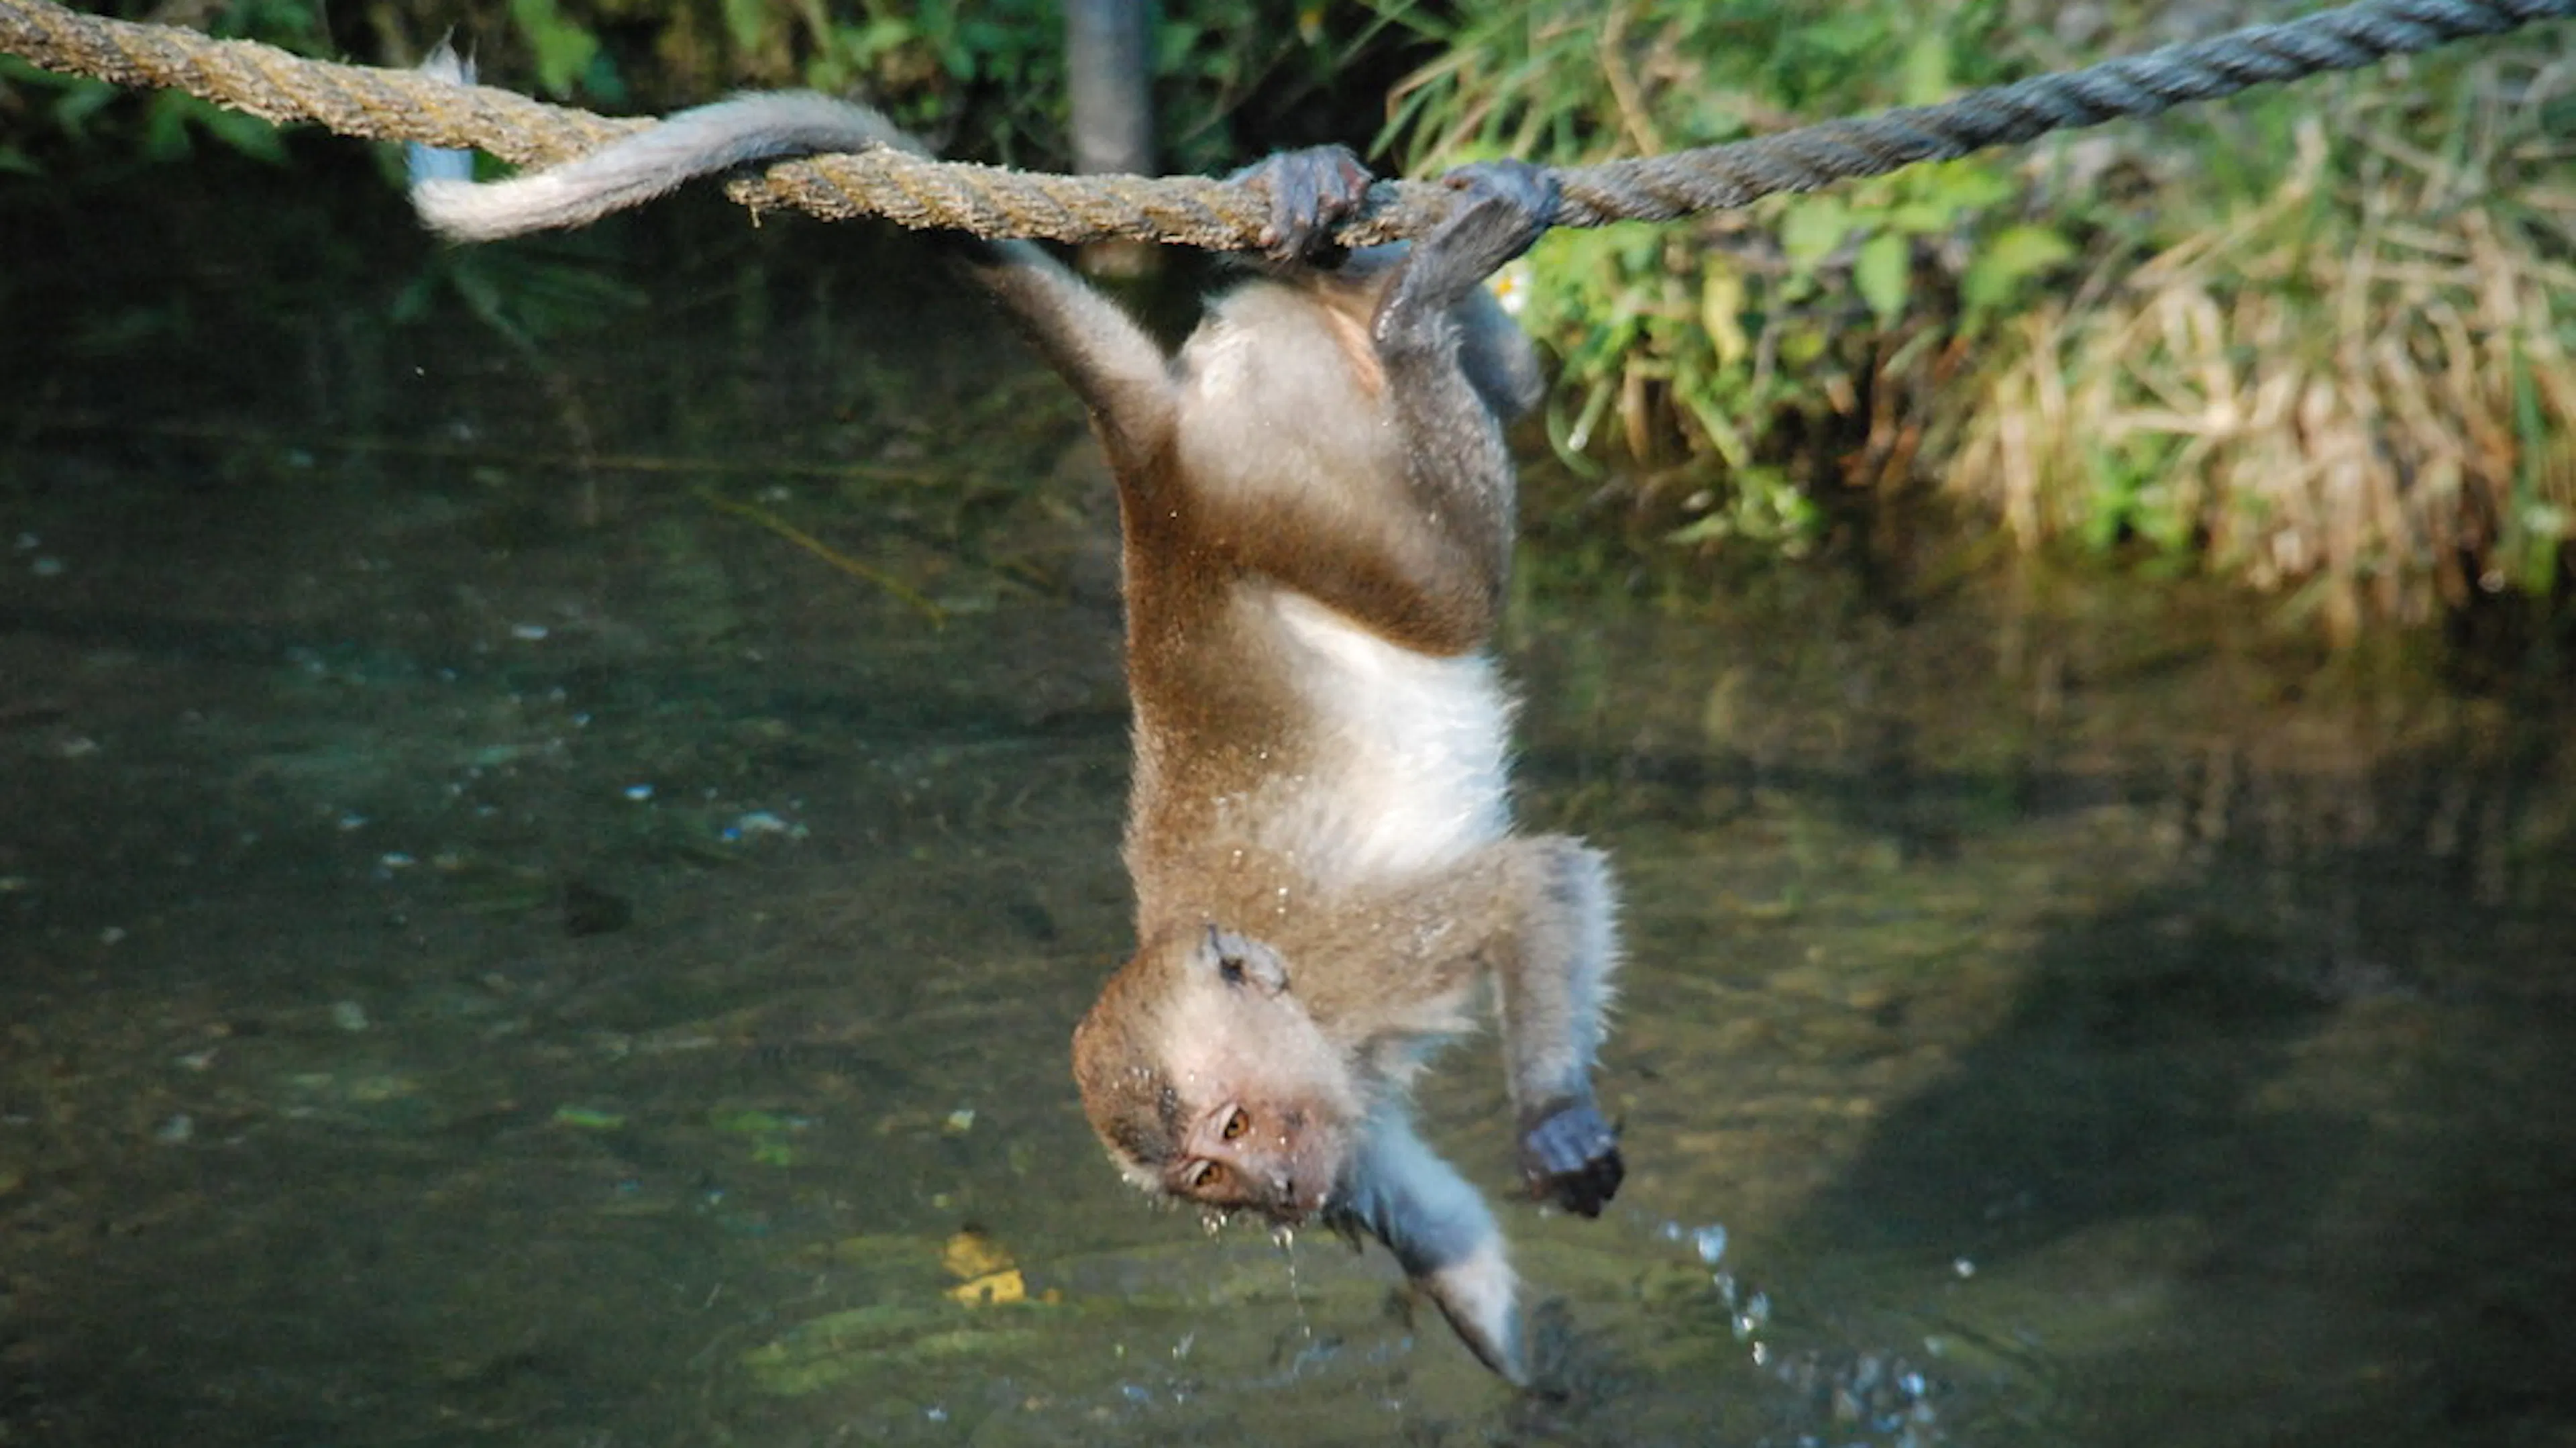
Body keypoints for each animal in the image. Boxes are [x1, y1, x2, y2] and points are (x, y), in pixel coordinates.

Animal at [404, 54, 1625, 1384]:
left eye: (1235, 1121)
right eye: (1212, 1175)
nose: (1277, 1192)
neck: (1300, 1009)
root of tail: (1156, 481)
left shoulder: (1358, 971)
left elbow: (1532, 883)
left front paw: (1555, 1115)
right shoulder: (1349, 1118)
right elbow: (1444, 1234)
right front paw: (1546, 1377)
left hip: (1294, 491)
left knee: (1454, 588)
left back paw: (1412, 305)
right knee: (1490, 389)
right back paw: (1340, 250)